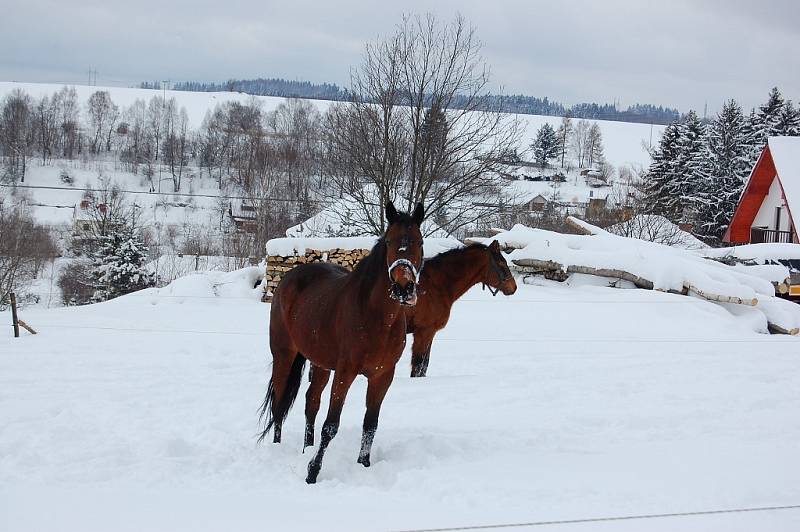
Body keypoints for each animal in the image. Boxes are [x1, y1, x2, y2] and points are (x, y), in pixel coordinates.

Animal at [260, 202, 424, 484]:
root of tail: (289, 280)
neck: (375, 317)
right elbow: (331, 425)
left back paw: (307, 448)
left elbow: (370, 424)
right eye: (389, 242)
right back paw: (278, 448)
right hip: (284, 355)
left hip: (320, 363)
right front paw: (312, 472)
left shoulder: (382, 376)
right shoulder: (345, 373)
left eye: (420, 242)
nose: (404, 289)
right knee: (280, 402)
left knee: (311, 402)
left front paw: (364, 464)